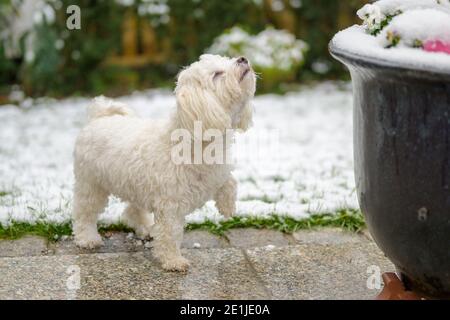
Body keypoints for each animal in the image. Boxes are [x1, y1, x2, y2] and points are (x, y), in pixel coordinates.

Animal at [71, 54, 255, 270]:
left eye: (227, 59)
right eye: (217, 74)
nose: (242, 59)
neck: (195, 141)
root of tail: (98, 118)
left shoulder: (218, 172)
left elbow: (230, 182)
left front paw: (228, 206)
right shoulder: (170, 206)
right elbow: (170, 234)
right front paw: (173, 260)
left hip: (134, 183)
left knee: (132, 210)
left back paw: (145, 227)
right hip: (91, 184)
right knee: (84, 212)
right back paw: (87, 238)